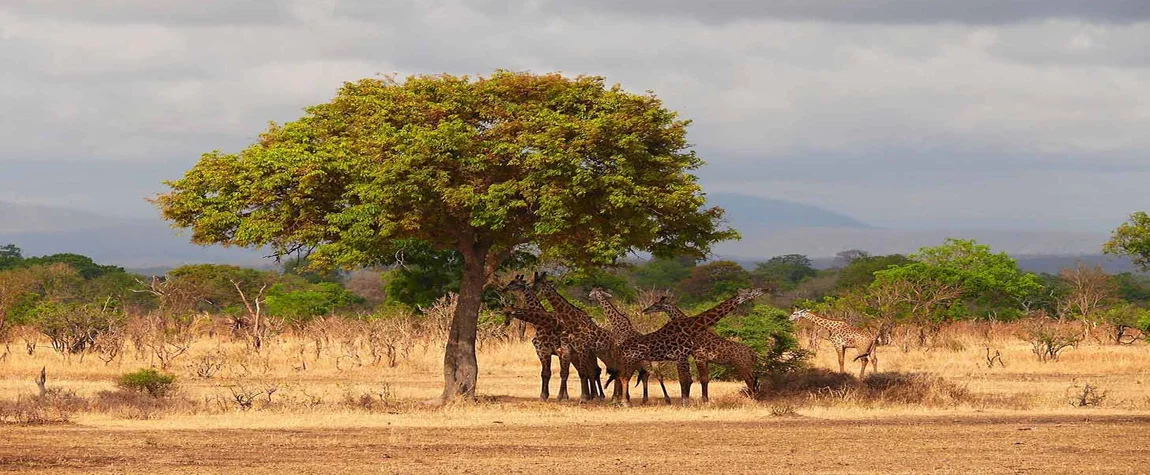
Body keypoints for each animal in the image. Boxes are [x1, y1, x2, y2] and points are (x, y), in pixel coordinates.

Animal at [611, 286, 763, 404]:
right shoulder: (694, 357)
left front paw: (696, 401)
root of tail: (753, 353)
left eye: (656, 305)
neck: (689, 327)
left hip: (742, 365)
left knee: (751, 380)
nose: (645, 310)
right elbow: (695, 379)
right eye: (750, 291)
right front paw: (698, 401)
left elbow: (692, 379)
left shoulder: (692, 357)